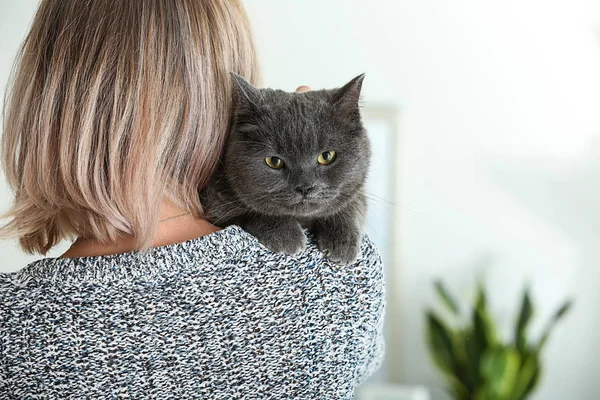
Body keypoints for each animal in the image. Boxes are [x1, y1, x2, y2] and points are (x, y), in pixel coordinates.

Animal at [203, 74, 370, 266]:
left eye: (327, 156)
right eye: (274, 161)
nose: (305, 187)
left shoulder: (357, 189)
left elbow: (351, 203)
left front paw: (343, 242)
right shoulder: (214, 200)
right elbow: (250, 211)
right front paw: (286, 235)